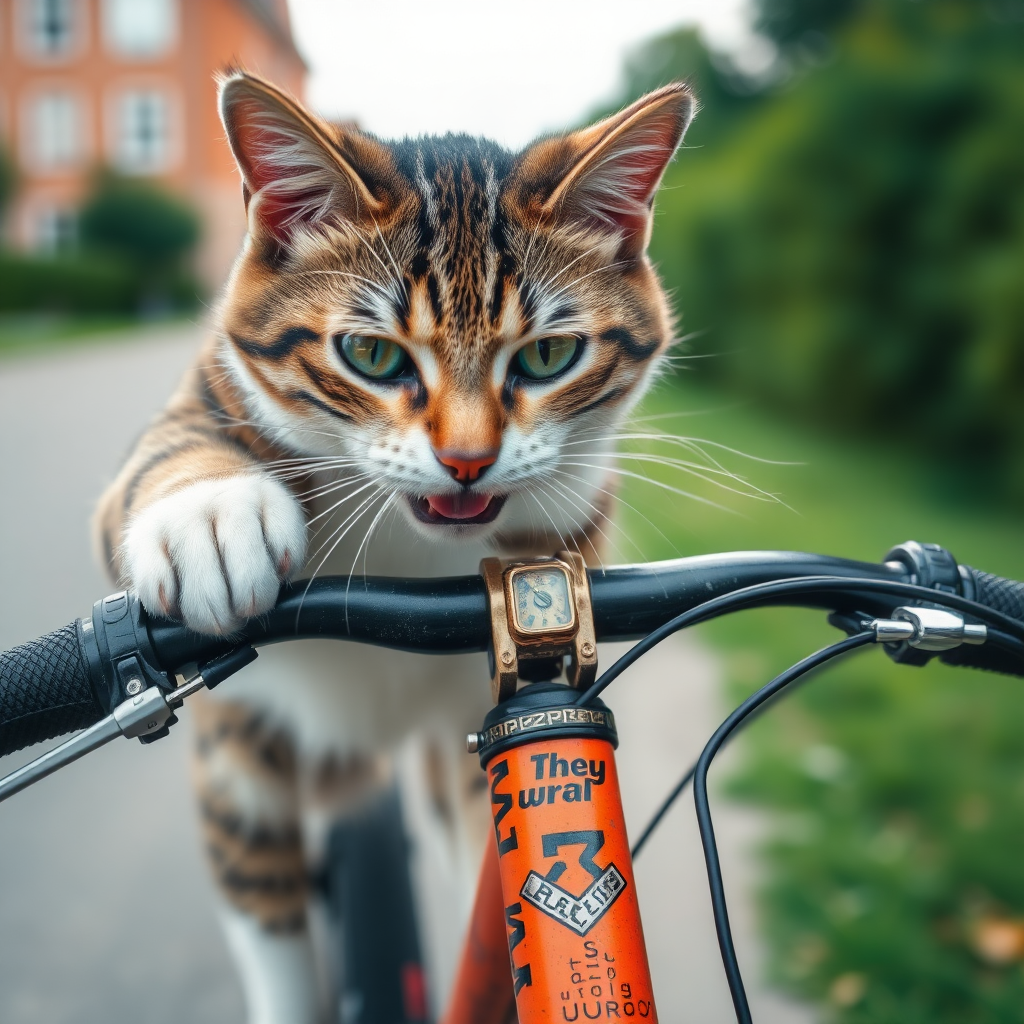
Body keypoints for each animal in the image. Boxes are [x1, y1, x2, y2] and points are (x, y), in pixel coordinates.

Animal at [94, 72, 696, 1024]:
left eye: (550, 355)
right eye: (372, 355)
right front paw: (211, 513)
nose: (467, 459)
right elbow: (166, 450)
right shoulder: (213, 389)